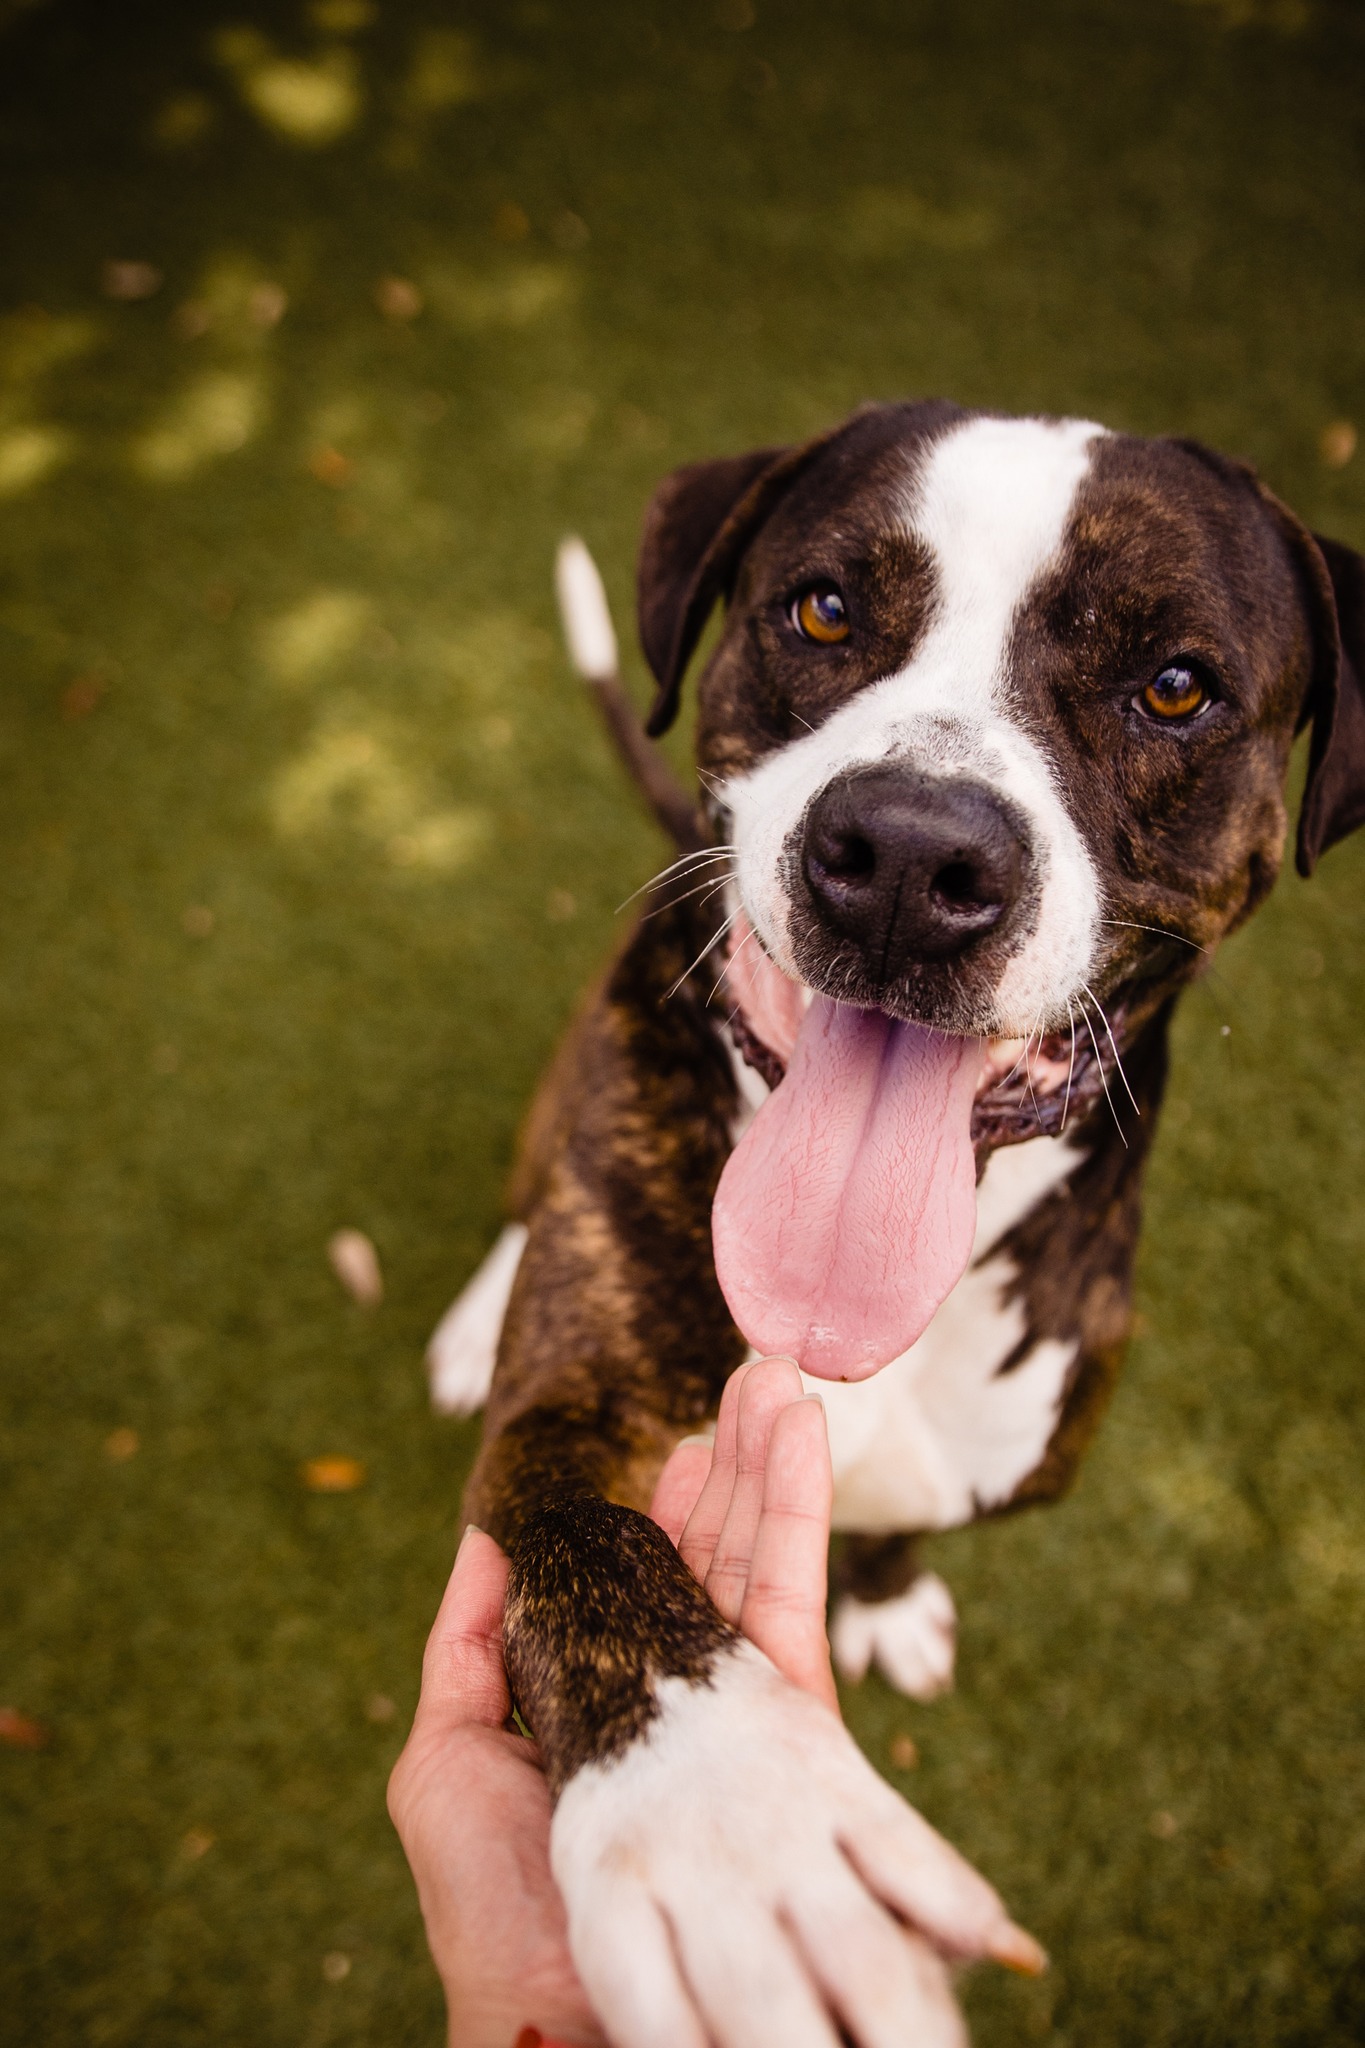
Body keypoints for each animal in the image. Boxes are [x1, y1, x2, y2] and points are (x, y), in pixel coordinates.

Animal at [429, 403, 1365, 2048]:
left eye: (1175, 686)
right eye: (821, 609)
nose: (914, 862)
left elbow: (897, 1520)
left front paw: (881, 1599)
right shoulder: (572, 1418)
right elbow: (588, 1546)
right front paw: (735, 1821)